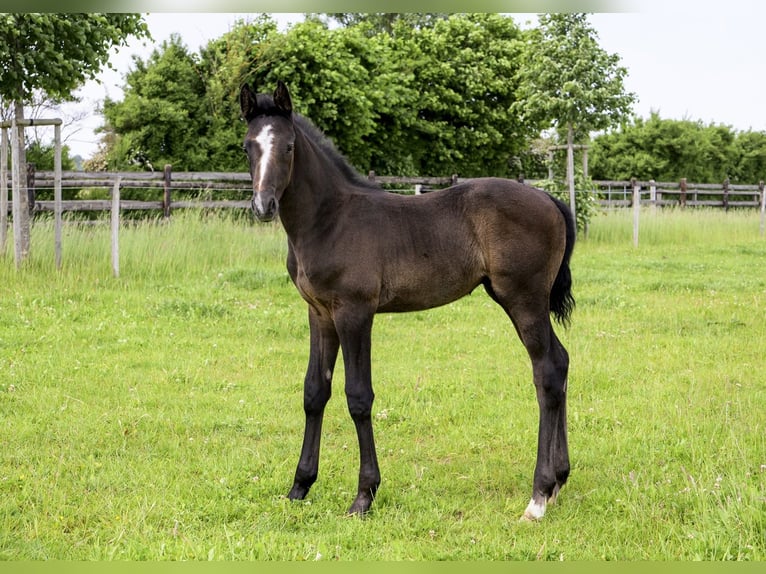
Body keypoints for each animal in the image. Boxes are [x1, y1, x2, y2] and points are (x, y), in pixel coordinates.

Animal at [239, 81, 576, 521]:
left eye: (289, 146)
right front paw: (300, 487)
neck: (329, 220)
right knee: (562, 360)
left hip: (524, 298)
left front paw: (363, 495)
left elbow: (358, 397)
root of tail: (549, 199)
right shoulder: (320, 313)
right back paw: (558, 481)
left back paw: (537, 497)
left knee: (547, 371)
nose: (264, 206)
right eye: (248, 147)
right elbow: (314, 392)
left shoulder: (355, 312)